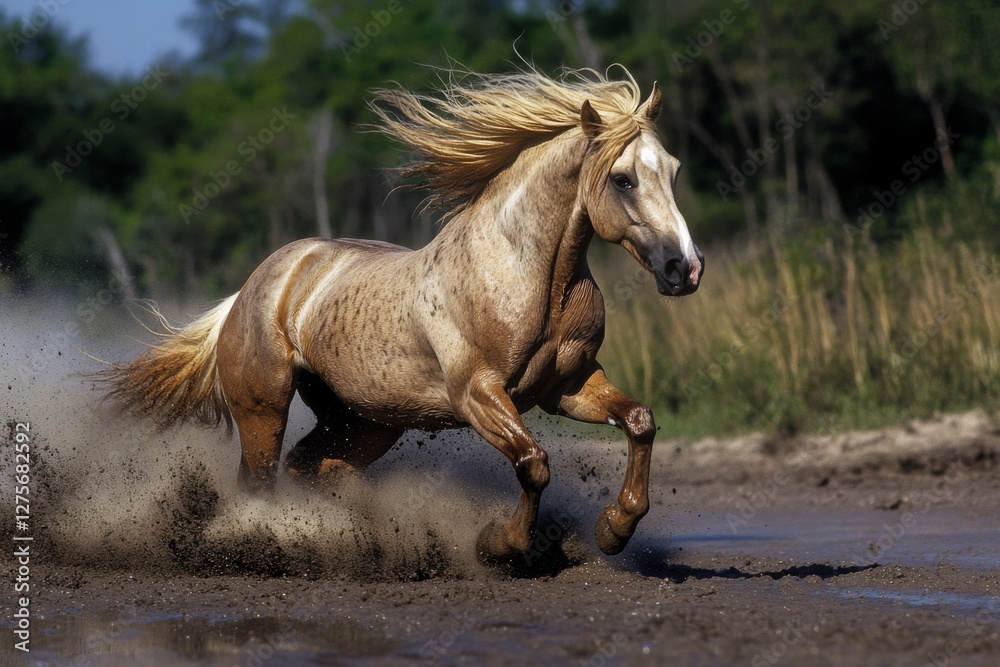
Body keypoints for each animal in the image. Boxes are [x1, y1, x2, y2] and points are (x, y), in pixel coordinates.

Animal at [103, 67, 704, 564]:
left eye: (674, 171)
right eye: (623, 179)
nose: (685, 268)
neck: (535, 283)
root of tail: (251, 290)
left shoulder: (568, 386)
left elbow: (639, 421)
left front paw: (614, 530)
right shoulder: (478, 394)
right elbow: (533, 461)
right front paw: (499, 544)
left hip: (365, 422)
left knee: (313, 468)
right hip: (264, 407)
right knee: (260, 478)